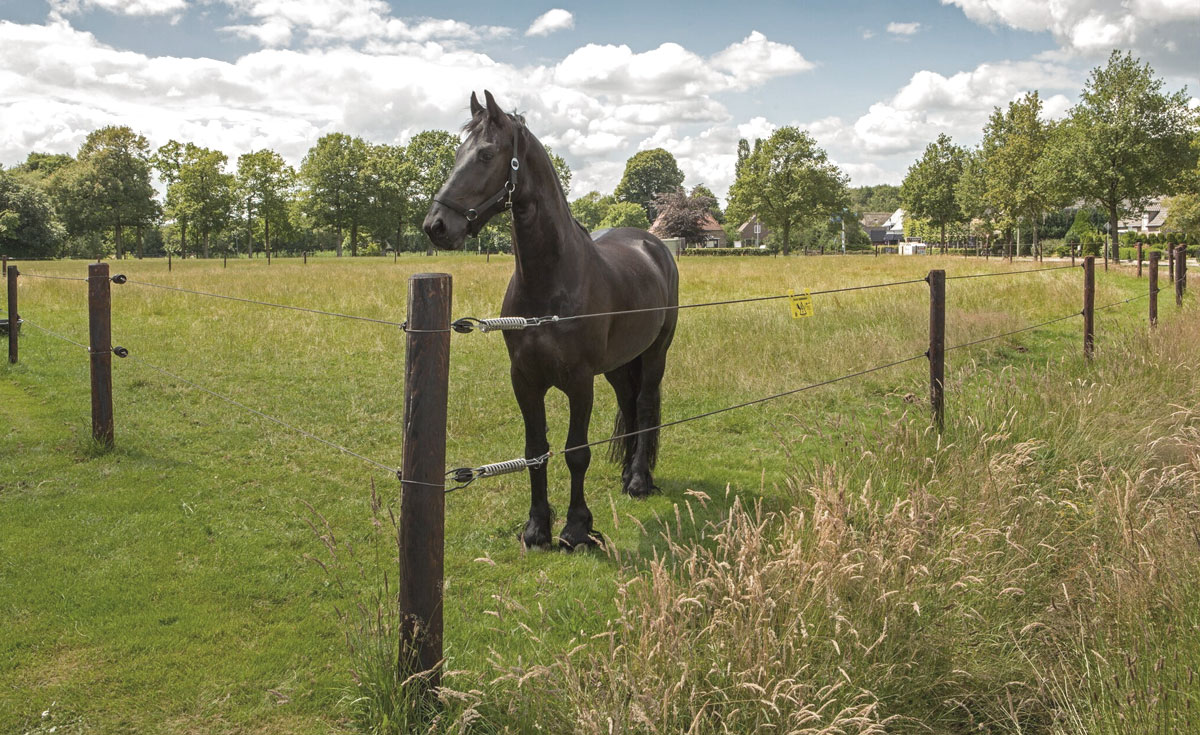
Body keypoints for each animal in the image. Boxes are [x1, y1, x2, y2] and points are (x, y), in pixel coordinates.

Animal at [427, 91, 681, 547]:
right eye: (458, 153)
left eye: (486, 153)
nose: (436, 226)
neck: (549, 286)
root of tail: (652, 244)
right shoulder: (525, 380)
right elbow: (534, 452)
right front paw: (536, 528)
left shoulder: (579, 382)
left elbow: (576, 452)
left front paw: (577, 528)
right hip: (618, 365)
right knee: (629, 407)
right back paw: (626, 475)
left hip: (655, 354)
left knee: (646, 405)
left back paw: (638, 480)